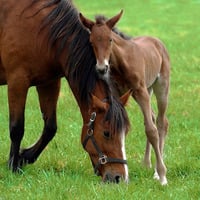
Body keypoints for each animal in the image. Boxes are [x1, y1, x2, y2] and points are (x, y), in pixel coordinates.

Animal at [0, 0, 133, 184]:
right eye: (106, 133)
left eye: (125, 133)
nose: (120, 178)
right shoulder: (17, 82)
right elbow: (16, 127)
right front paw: (13, 165)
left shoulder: (49, 83)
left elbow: (50, 128)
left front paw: (24, 157)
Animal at [79, 10, 170, 186]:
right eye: (91, 41)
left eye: (110, 39)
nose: (102, 68)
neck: (122, 60)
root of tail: (157, 41)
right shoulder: (120, 92)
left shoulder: (140, 90)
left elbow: (151, 130)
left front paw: (162, 176)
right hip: (145, 90)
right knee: (153, 117)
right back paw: (146, 163)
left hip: (160, 86)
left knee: (161, 122)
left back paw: (157, 171)